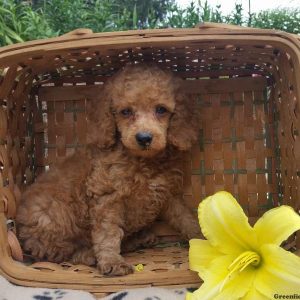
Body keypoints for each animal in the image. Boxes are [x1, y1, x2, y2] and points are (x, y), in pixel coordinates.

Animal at [15, 64, 199, 276]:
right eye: (125, 112)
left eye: (161, 109)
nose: (144, 138)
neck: (143, 161)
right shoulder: (108, 197)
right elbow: (108, 233)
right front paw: (112, 261)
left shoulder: (168, 194)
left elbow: (184, 217)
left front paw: (201, 235)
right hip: (53, 216)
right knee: (60, 252)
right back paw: (90, 254)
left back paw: (139, 239)